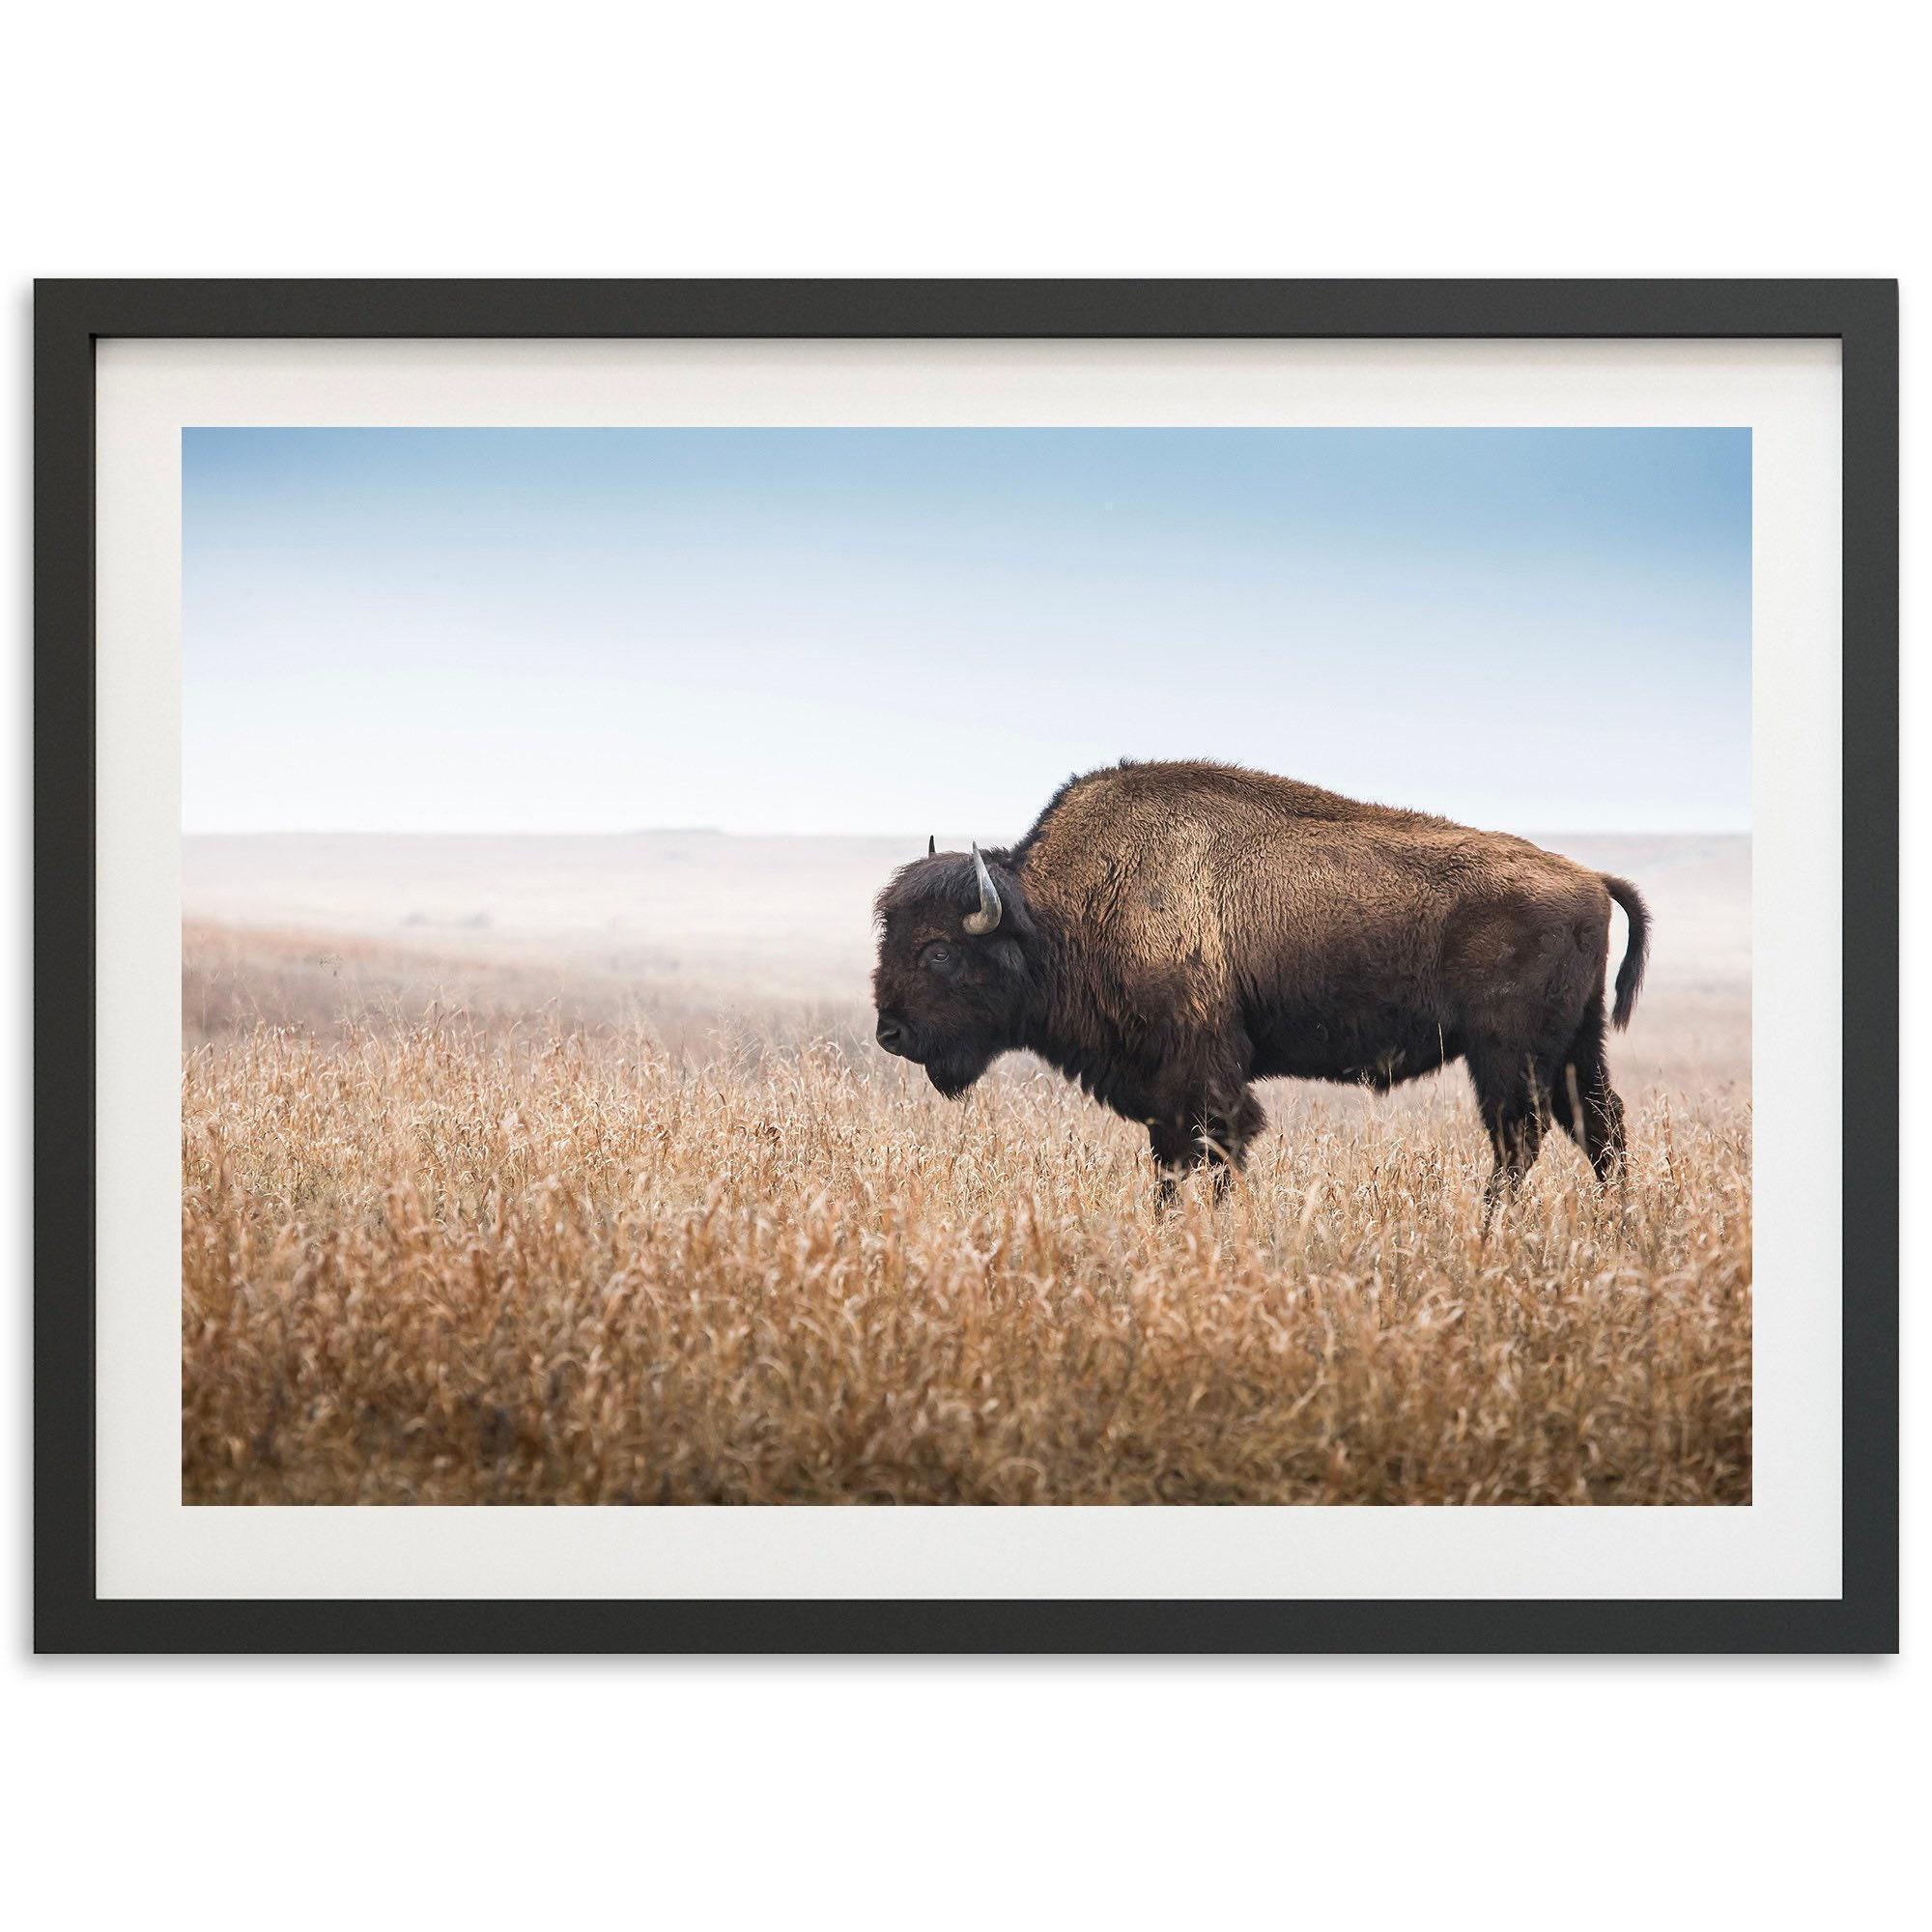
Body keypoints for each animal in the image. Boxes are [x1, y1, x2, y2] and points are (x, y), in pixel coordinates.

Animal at [872, 759, 1649, 1205]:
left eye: (939, 952)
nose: (890, 1033)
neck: (1056, 912)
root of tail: (1589, 878)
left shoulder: (1203, 1076)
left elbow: (1214, 1152)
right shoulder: (1163, 1092)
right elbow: (1171, 1163)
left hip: (1506, 1054)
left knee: (1521, 1140)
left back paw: (1491, 1228)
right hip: (1574, 1048)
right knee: (1600, 1129)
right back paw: (1617, 1227)